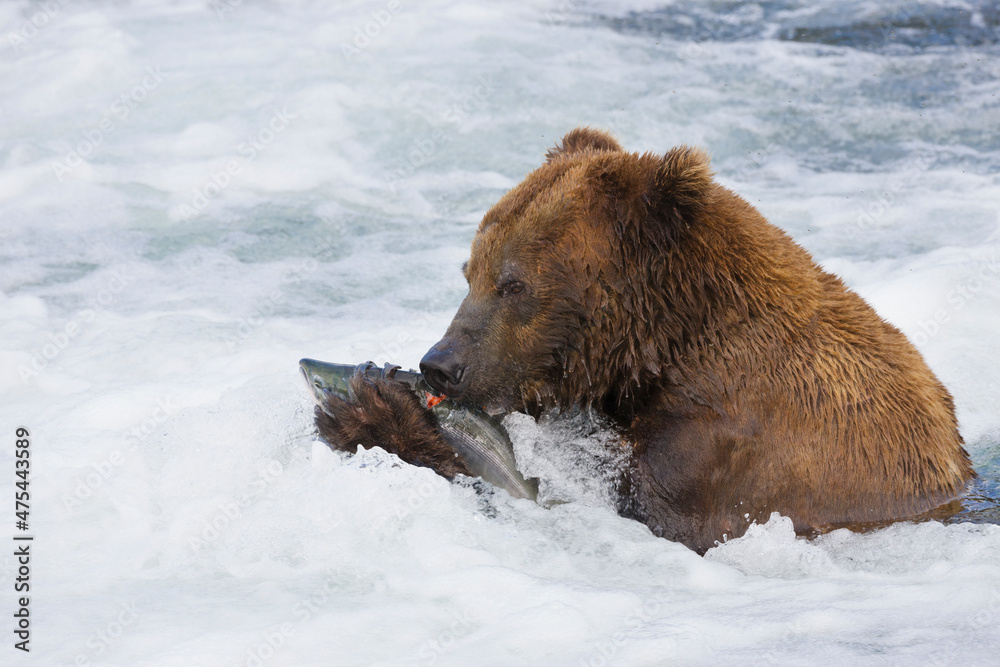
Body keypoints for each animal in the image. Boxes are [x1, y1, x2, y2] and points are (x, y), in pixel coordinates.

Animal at [317, 127, 975, 554]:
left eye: (513, 283)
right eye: (469, 270)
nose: (439, 364)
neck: (665, 344)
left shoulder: (728, 450)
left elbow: (620, 511)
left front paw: (371, 408)